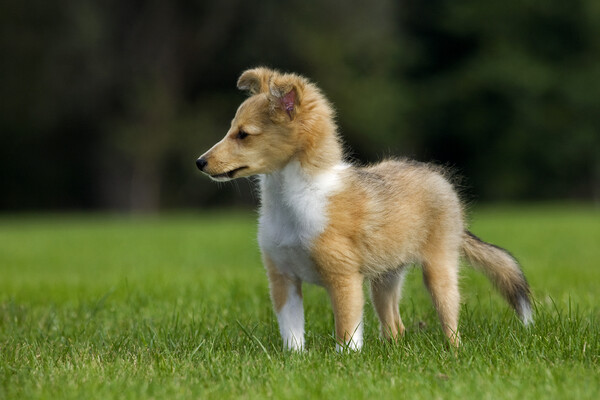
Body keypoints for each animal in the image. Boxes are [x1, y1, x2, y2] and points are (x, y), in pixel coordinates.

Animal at [196, 67, 528, 352]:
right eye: (232, 129)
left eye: (243, 134)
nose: (200, 162)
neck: (295, 201)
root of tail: (437, 177)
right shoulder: (283, 278)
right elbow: (292, 332)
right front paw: (295, 361)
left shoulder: (343, 277)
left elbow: (347, 331)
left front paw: (345, 362)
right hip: (385, 278)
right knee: (395, 326)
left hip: (439, 269)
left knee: (450, 321)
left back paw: (453, 352)